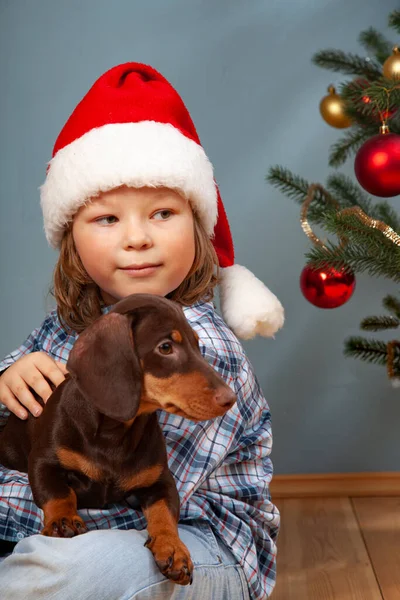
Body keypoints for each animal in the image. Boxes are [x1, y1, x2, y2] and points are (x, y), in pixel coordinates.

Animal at [0, 296, 236, 584]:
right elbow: (57, 492)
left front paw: (172, 547)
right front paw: (63, 520)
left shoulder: (161, 480)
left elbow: (165, 512)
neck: (114, 433)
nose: (230, 399)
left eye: (198, 345)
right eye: (165, 347)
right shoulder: (43, 461)